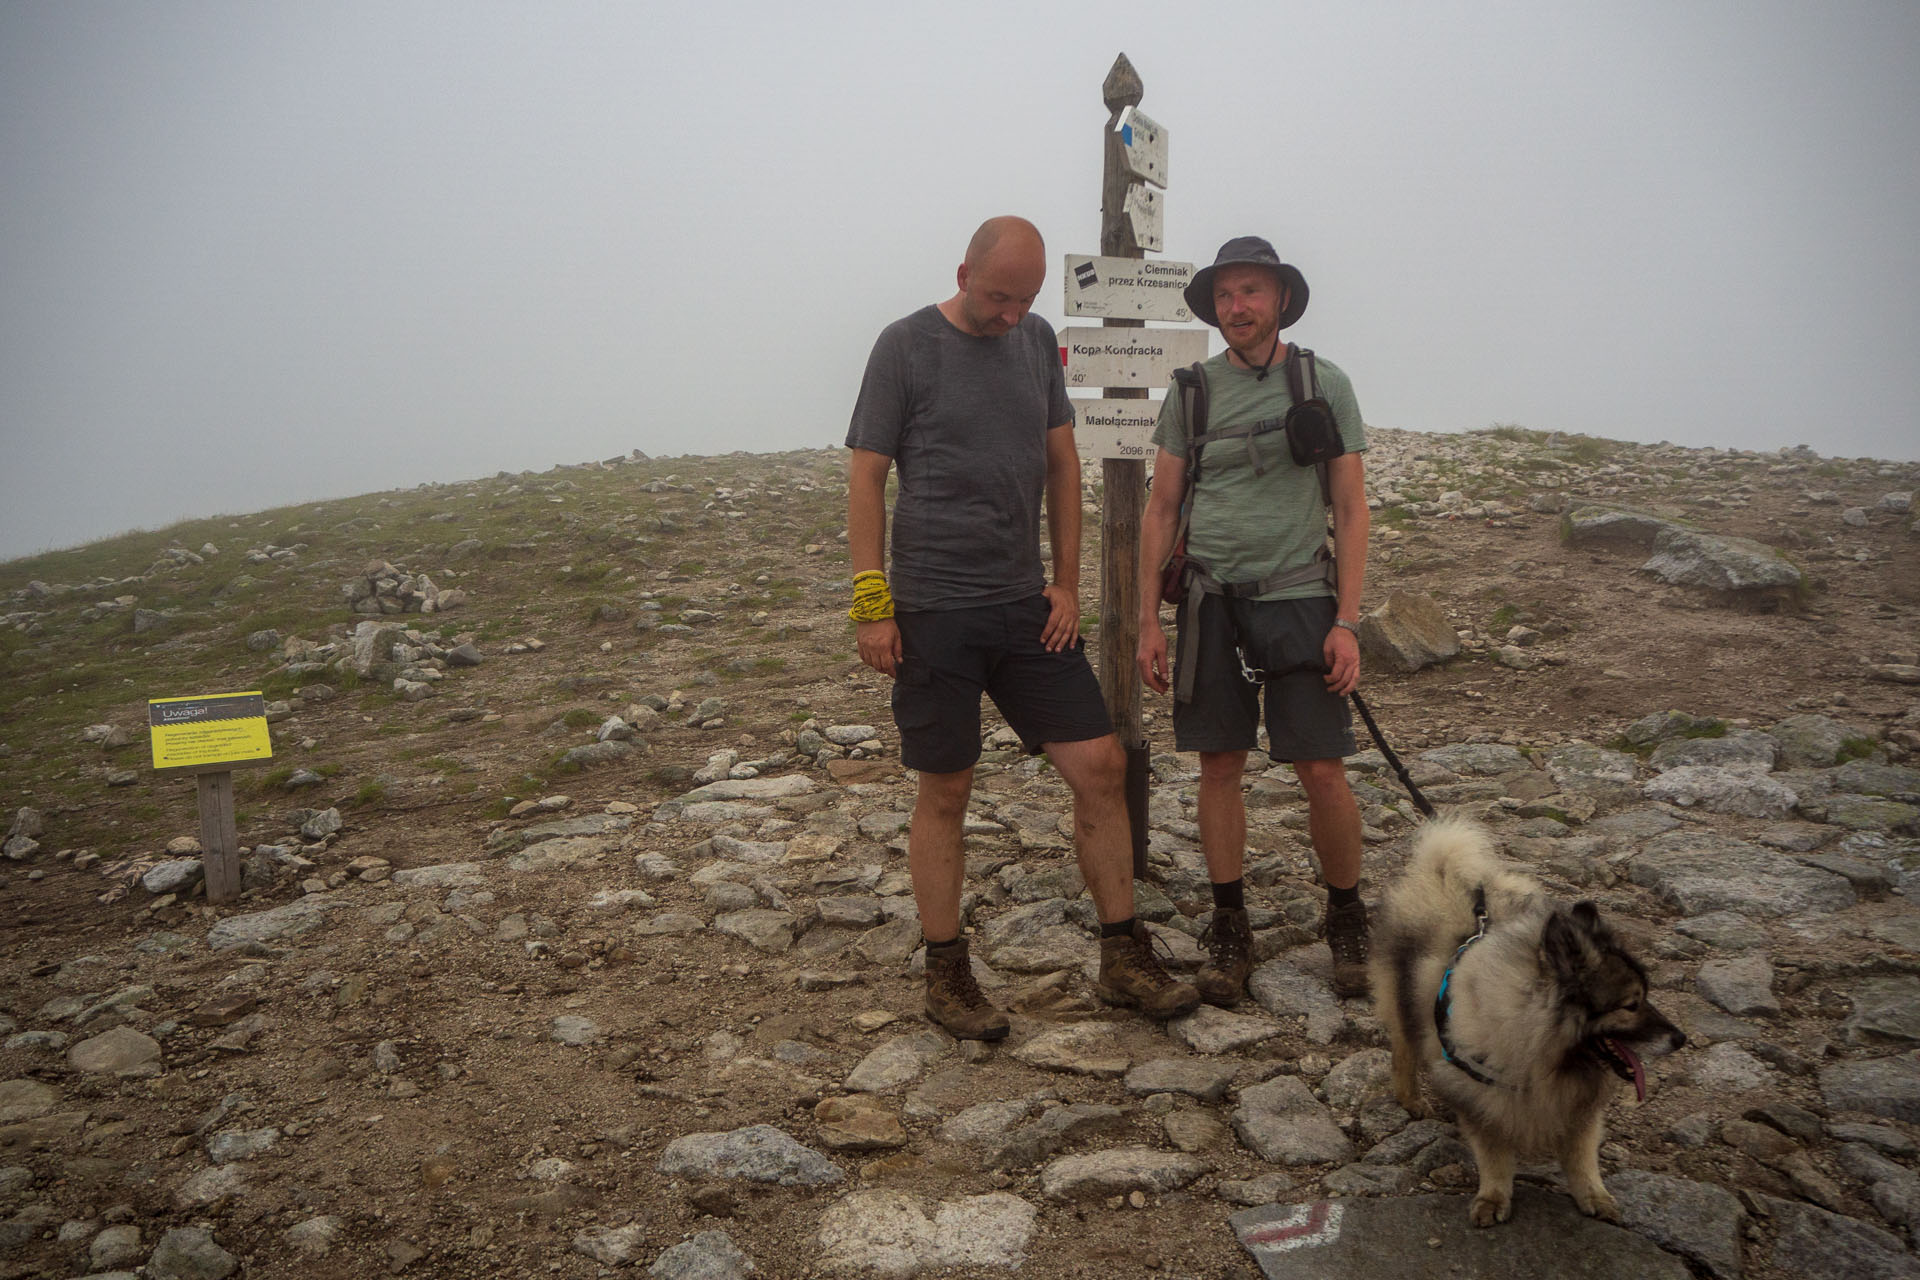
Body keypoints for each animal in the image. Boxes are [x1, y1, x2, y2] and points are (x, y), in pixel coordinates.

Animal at [1374, 817, 1689, 1228]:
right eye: (1630, 1005)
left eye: (1646, 996)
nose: (1681, 1038)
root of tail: (1440, 870)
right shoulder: (1482, 1098)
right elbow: (1494, 1156)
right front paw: (1493, 1198)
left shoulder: (1578, 1107)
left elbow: (1581, 1156)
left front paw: (1594, 1195)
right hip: (1403, 1000)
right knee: (1403, 1053)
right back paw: (1411, 1099)